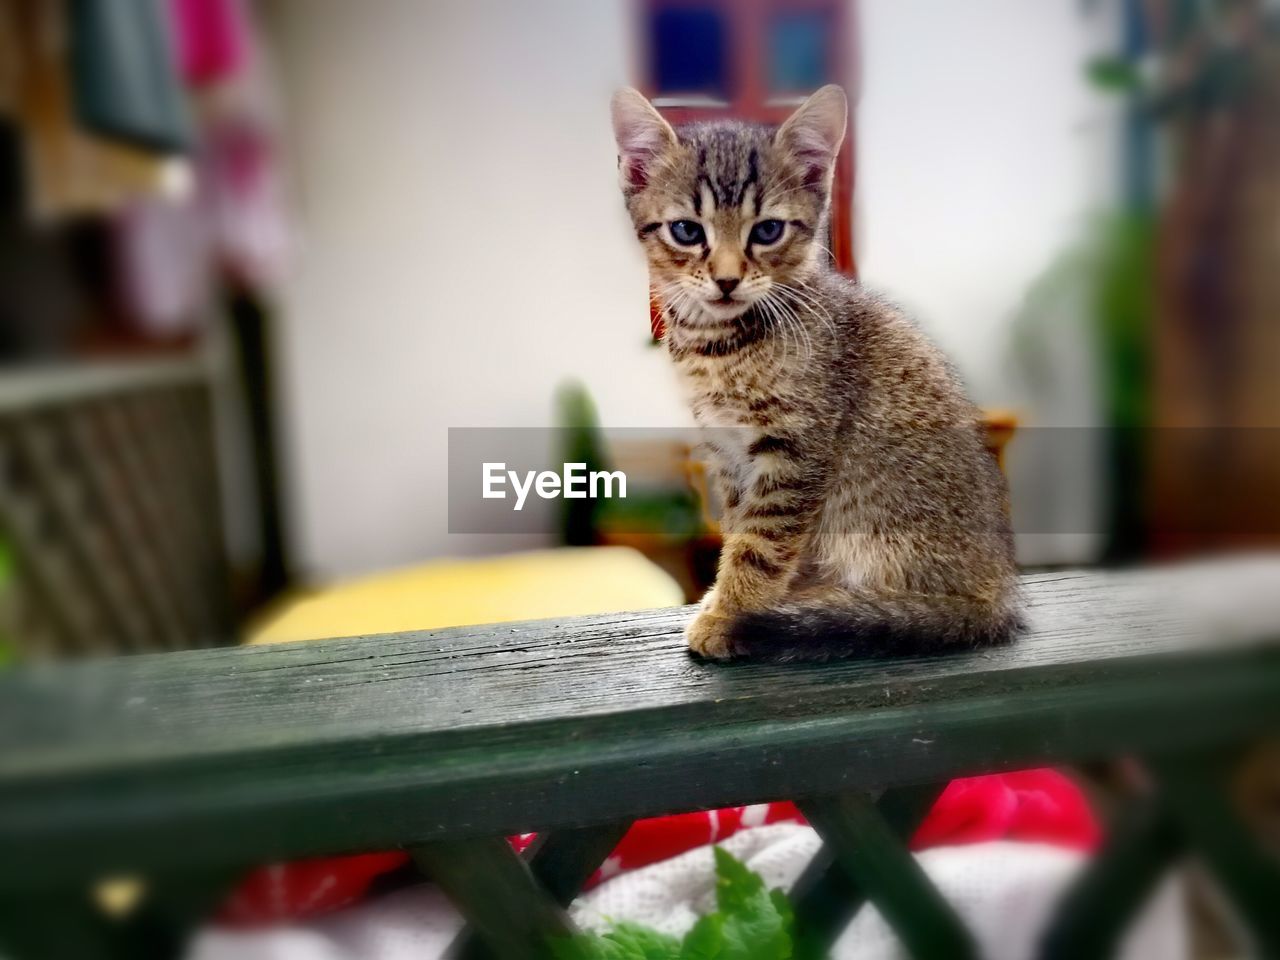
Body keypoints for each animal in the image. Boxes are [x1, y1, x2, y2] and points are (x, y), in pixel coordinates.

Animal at [609, 84, 1018, 660]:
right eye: (687, 231)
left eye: (768, 230)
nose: (727, 280)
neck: (719, 345)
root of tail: (996, 595)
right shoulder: (726, 453)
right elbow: (739, 529)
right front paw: (735, 600)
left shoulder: (797, 449)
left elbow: (761, 543)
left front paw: (733, 613)